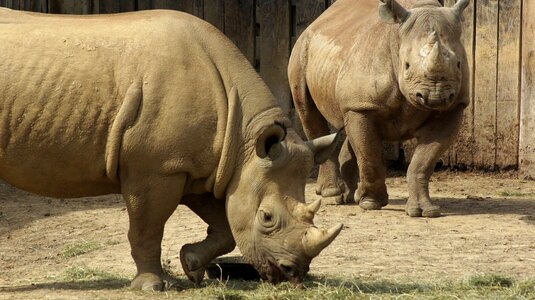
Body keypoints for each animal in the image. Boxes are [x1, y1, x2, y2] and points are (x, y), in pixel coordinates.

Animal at [0, 8, 344, 290]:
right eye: (267, 217)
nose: (293, 273)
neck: (244, 137)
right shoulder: (157, 167)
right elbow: (148, 227)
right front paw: (154, 285)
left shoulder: (205, 165)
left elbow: (225, 227)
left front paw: (191, 265)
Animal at [288, 0, 468, 217]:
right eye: (407, 65)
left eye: (458, 64)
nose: (435, 97)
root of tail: (319, 19)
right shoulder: (362, 106)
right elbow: (369, 155)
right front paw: (371, 202)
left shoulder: (453, 107)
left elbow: (423, 161)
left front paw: (425, 210)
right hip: (301, 49)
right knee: (308, 112)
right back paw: (333, 193)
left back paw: (348, 197)